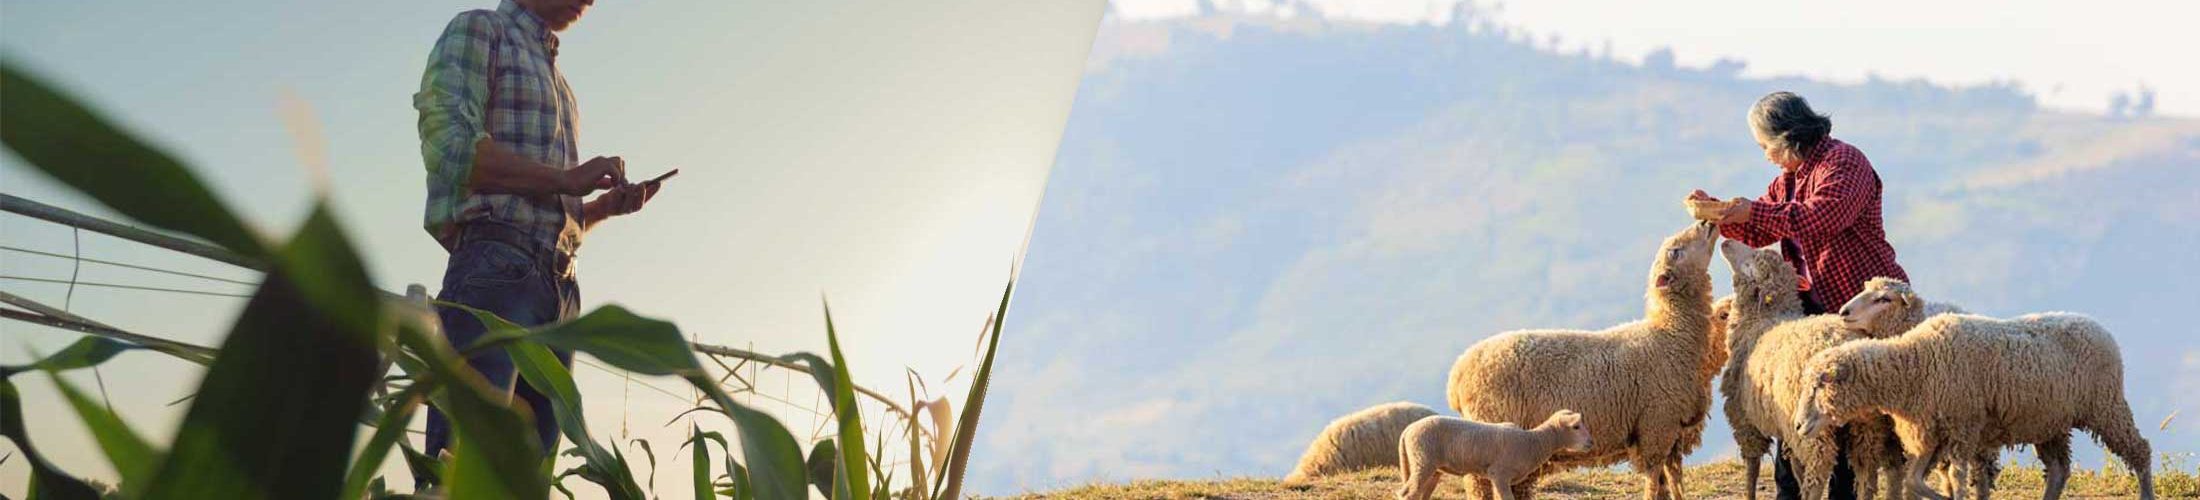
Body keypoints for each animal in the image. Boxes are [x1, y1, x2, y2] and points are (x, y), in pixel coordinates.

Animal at [1399, 409, 1592, 500]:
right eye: (1576, 426)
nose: (1591, 443)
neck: (1532, 442)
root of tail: (1408, 429)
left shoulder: (1499, 478)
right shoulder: (1499, 474)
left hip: (1431, 467)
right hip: (1423, 461)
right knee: (1408, 494)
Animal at [1452, 222, 1724, 500]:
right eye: (1675, 251)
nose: (1705, 223)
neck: (1672, 335)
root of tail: (1459, 372)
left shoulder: (1673, 431)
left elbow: (1673, 477)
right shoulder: (1656, 424)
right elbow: (1654, 477)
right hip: (1490, 429)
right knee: (1478, 483)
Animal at [1795, 310, 2156, 497]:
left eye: (1819, 384)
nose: (1798, 426)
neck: (1915, 365)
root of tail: (2099, 328)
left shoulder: (1962, 426)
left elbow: (1955, 476)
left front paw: (1953, 496)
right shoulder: (1933, 432)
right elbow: (1914, 479)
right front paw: (1942, 496)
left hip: (2106, 406)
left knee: (2140, 450)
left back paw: (2146, 491)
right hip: (2050, 420)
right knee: (2057, 470)